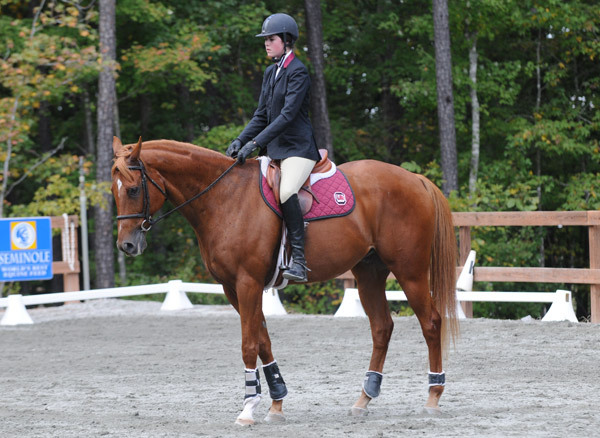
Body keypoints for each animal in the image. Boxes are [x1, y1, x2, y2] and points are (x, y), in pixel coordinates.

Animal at [111, 136, 460, 424]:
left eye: (133, 189)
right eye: (114, 191)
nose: (127, 246)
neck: (225, 198)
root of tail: (414, 179)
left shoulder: (248, 283)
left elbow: (249, 343)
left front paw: (248, 408)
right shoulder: (232, 288)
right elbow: (263, 339)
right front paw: (276, 402)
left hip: (410, 271)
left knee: (430, 322)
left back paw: (433, 397)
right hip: (369, 272)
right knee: (382, 328)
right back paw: (364, 399)